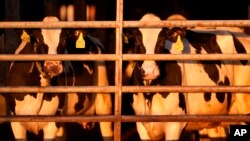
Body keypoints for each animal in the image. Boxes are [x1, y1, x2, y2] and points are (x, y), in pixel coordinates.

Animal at [122, 12, 250, 140]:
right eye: (137, 40)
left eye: (162, 41)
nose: (150, 70)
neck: (149, 95)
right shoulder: (141, 126)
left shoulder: (174, 125)